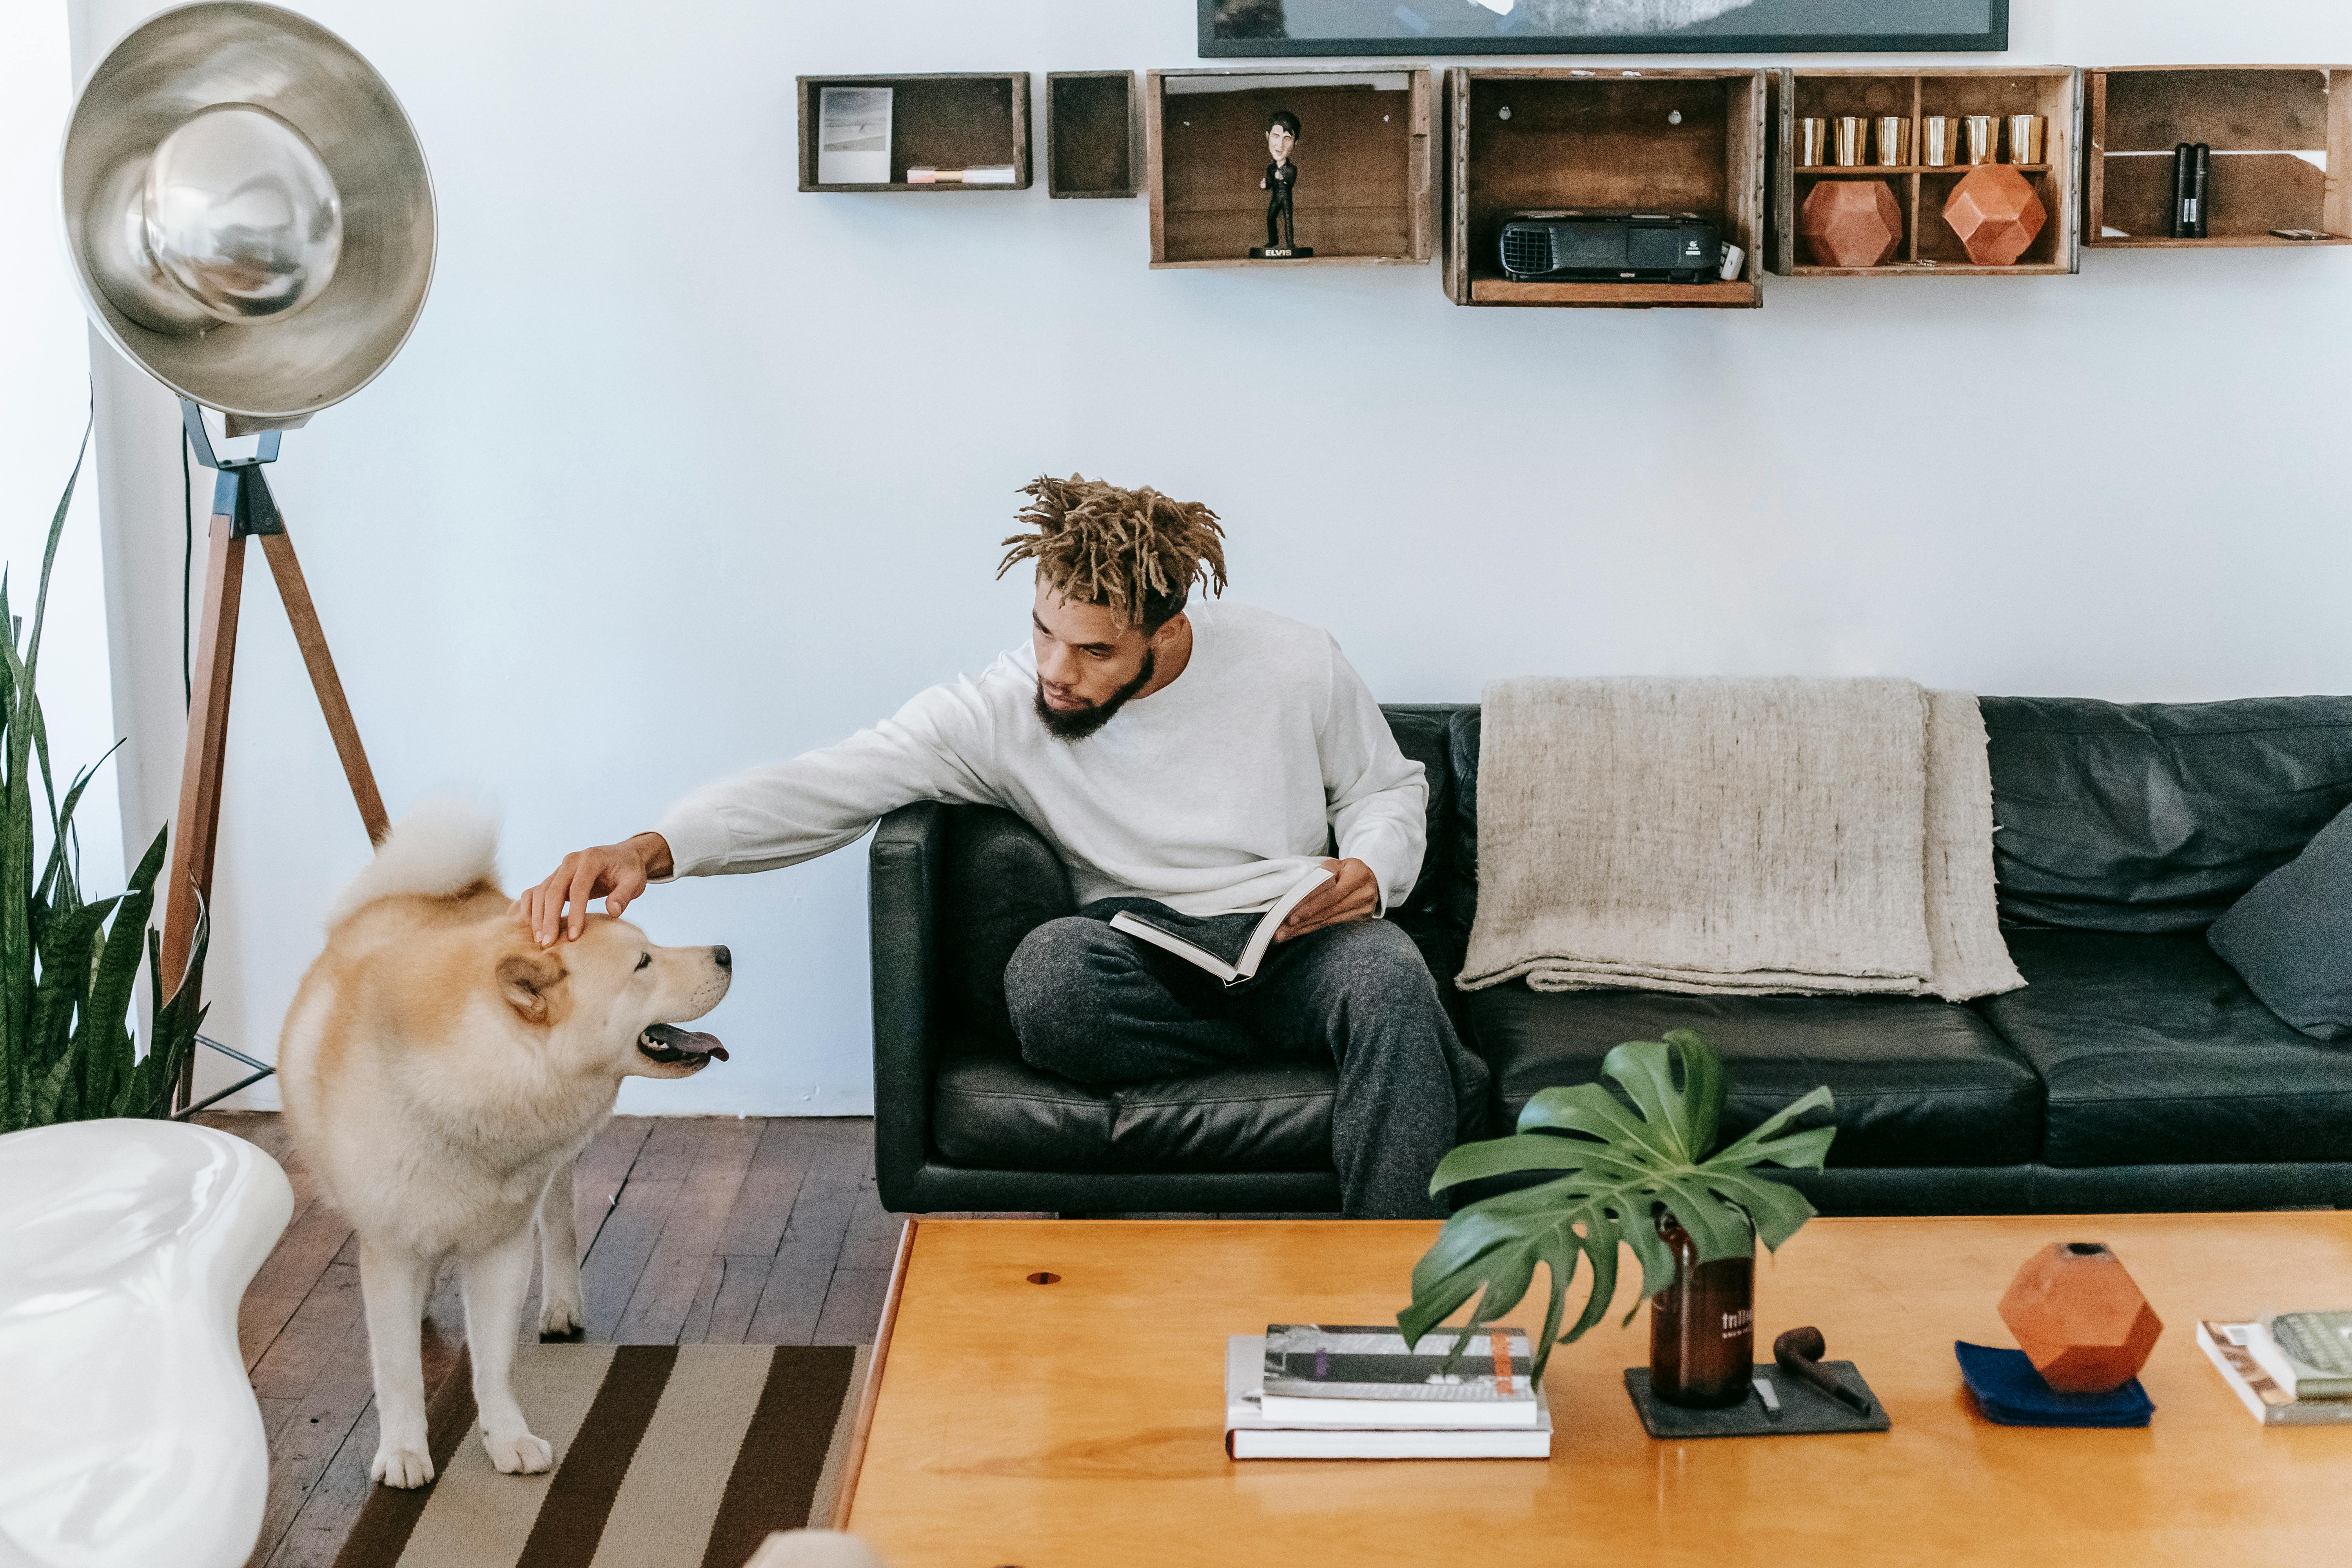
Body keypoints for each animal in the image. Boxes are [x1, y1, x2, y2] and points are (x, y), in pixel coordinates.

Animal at [281, 804, 729, 1495]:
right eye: (643, 964)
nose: (727, 953)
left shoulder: (501, 1250)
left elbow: (494, 1364)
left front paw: (507, 1439)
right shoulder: (391, 1250)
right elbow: (399, 1371)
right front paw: (404, 1452)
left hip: (555, 1181)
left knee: (563, 1231)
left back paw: (563, 1307)